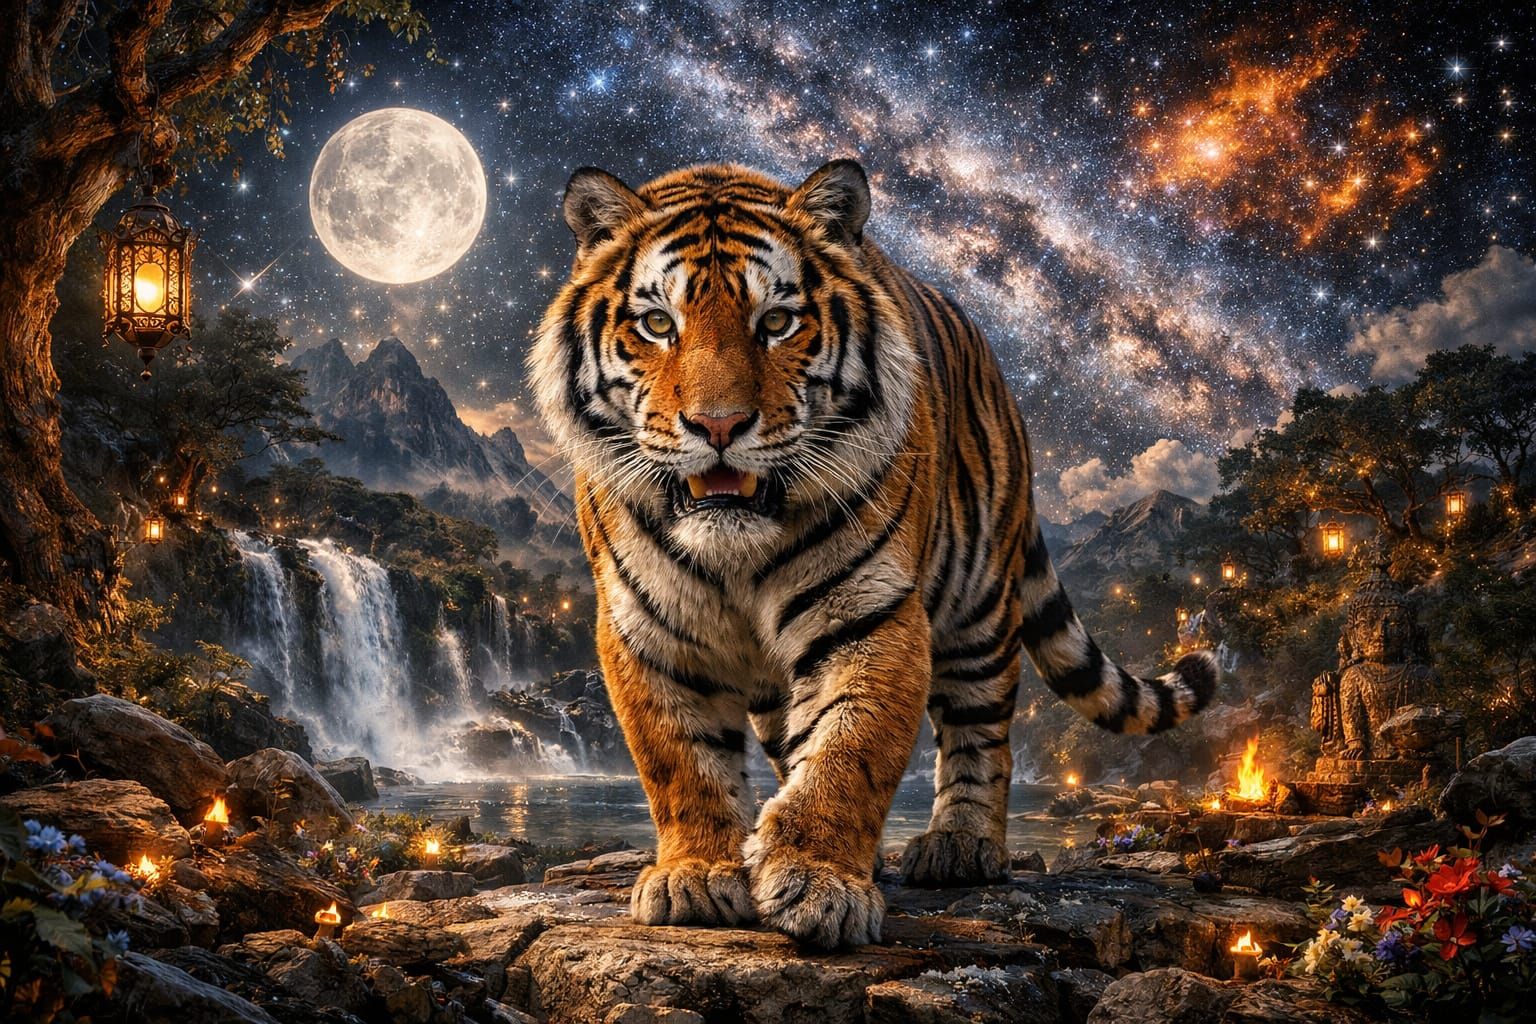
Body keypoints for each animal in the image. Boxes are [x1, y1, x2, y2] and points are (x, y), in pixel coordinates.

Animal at [528, 159, 1219, 950]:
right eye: (657, 324)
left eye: (776, 322)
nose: (719, 425)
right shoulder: (646, 629)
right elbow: (681, 763)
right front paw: (697, 873)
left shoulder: (873, 613)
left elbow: (851, 749)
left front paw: (818, 880)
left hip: (980, 608)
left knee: (982, 735)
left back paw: (961, 847)